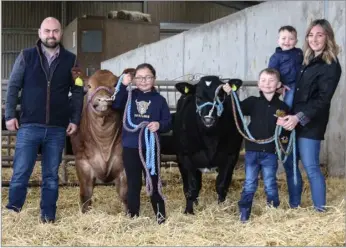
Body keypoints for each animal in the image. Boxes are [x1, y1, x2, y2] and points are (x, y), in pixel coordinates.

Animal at [173, 76, 243, 215]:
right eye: (198, 97)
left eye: (221, 96)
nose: (208, 119)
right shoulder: (185, 157)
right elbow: (191, 187)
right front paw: (189, 211)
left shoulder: (231, 155)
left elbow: (221, 185)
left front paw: (221, 209)